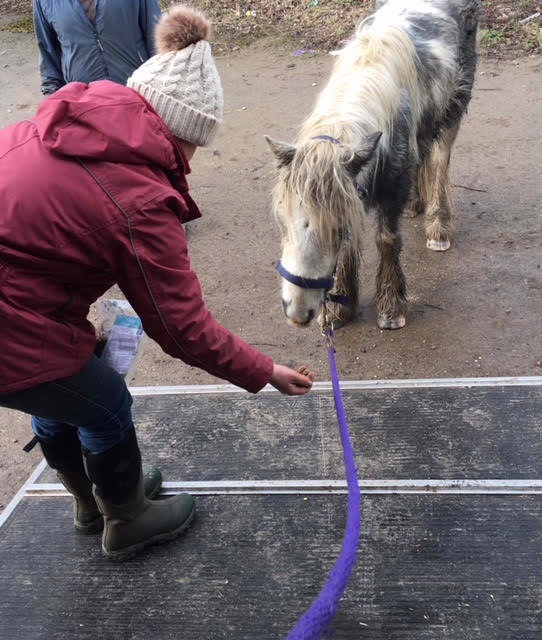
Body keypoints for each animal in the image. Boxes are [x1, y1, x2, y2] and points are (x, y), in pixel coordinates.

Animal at [266, 0, 480, 330]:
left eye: (336, 227)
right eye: (282, 221)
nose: (297, 314)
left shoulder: (391, 190)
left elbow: (387, 240)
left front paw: (391, 308)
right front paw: (340, 307)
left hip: (454, 107)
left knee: (440, 159)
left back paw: (438, 229)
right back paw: (416, 204)